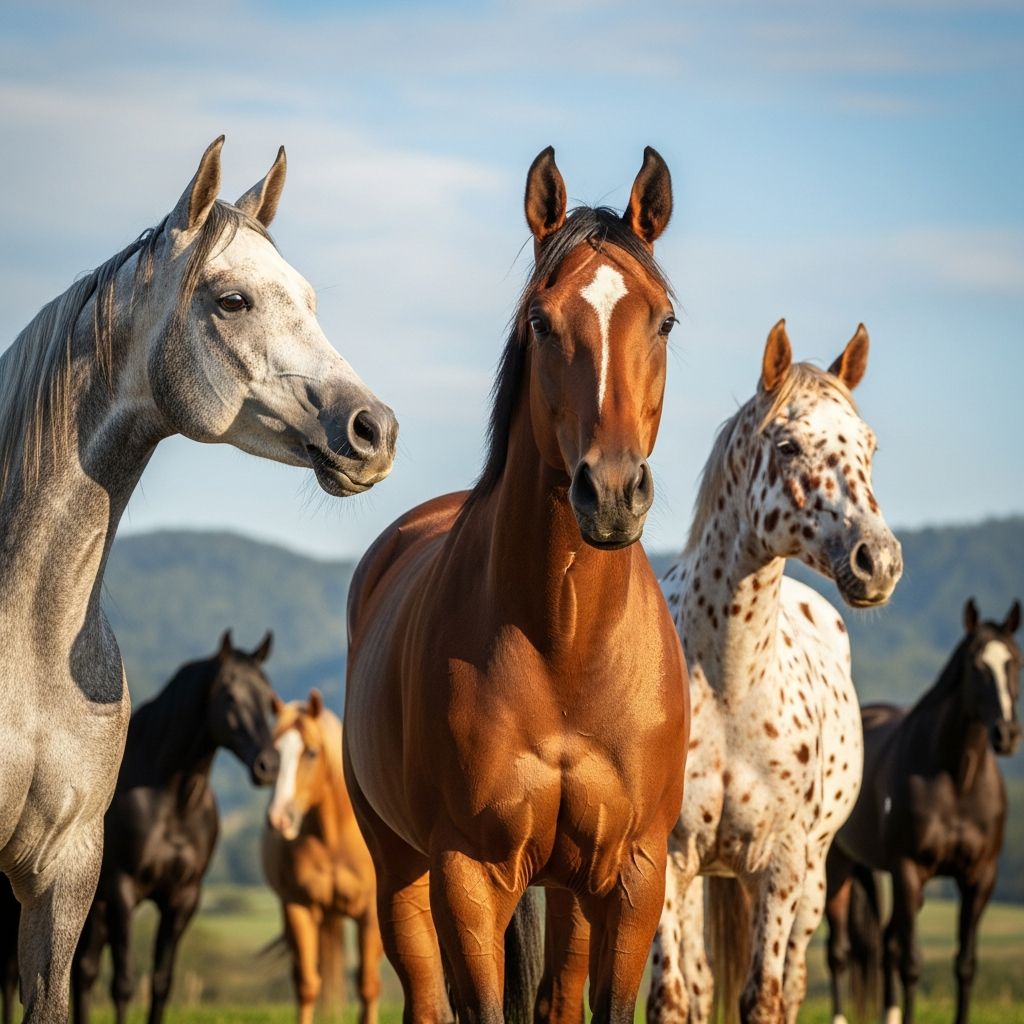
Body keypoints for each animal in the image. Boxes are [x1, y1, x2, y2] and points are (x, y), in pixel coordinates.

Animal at [263, 691, 382, 1024]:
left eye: (312, 753)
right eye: (272, 753)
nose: (279, 818)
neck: (333, 839)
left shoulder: (370, 912)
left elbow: (367, 985)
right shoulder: (298, 907)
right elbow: (307, 985)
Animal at [343, 145, 688, 1024]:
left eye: (663, 320)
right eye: (541, 319)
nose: (610, 490)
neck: (565, 642)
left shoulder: (633, 878)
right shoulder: (468, 875)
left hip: (569, 888)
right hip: (402, 875)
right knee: (428, 998)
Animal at [646, 322, 903, 1024]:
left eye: (870, 445)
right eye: (787, 444)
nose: (879, 561)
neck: (729, 686)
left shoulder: (782, 865)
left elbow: (761, 996)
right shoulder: (666, 862)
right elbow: (674, 997)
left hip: (813, 880)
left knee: (788, 985)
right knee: (700, 980)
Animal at [824, 598, 1022, 1024]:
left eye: (1016, 661)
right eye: (977, 665)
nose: (1008, 734)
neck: (958, 782)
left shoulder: (980, 877)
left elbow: (965, 963)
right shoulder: (908, 869)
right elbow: (911, 962)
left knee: (884, 943)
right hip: (837, 869)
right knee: (839, 951)